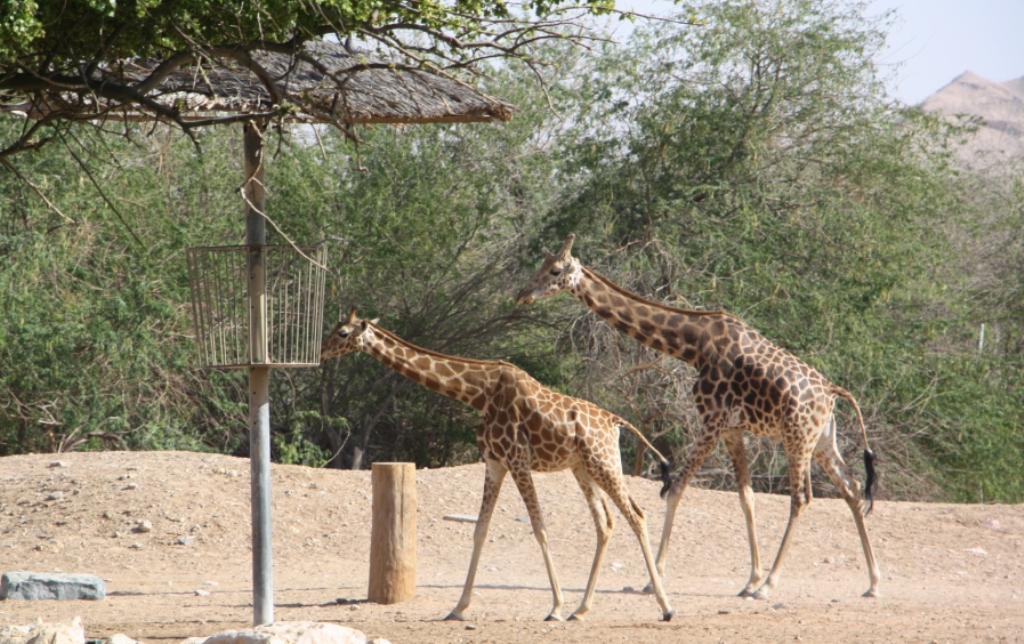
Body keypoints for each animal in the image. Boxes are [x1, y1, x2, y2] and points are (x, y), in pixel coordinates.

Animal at [315, 309, 675, 618]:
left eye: (342, 332)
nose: (320, 352)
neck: (478, 394)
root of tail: (616, 422)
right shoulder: (494, 463)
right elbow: (480, 529)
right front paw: (458, 607)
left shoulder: (517, 460)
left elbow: (539, 527)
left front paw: (555, 606)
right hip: (582, 467)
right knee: (606, 523)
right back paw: (581, 609)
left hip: (604, 462)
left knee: (637, 516)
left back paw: (664, 606)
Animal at [516, 233, 884, 602]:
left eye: (555, 270)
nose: (522, 294)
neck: (693, 346)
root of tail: (833, 392)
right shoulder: (731, 428)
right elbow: (746, 497)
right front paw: (750, 578)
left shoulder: (711, 420)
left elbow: (676, 489)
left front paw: (654, 580)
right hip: (821, 441)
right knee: (852, 488)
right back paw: (872, 582)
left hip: (798, 437)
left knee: (802, 498)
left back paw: (770, 586)